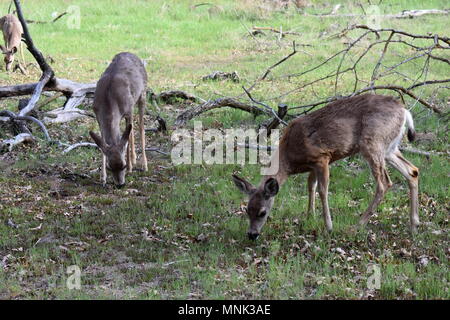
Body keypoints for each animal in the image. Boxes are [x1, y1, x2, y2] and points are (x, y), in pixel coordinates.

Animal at [89, 52, 149, 188]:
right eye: (109, 167)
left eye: (123, 165)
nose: (120, 185)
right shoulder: (98, 116)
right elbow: (103, 143)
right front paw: (103, 178)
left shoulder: (129, 110)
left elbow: (128, 138)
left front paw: (130, 168)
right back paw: (134, 158)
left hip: (142, 94)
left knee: (140, 127)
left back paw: (144, 165)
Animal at [234, 94, 420, 240]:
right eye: (247, 210)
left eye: (262, 212)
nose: (251, 235)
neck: (290, 156)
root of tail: (404, 111)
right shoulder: (312, 165)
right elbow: (311, 186)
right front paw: (309, 217)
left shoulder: (322, 157)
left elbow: (323, 190)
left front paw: (328, 226)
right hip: (389, 148)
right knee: (413, 171)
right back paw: (414, 225)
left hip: (372, 143)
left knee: (384, 183)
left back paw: (358, 225)